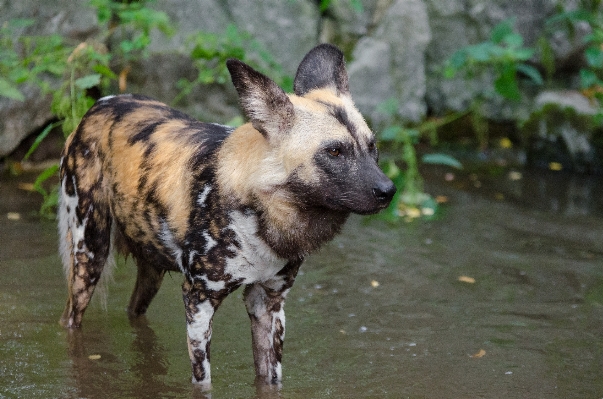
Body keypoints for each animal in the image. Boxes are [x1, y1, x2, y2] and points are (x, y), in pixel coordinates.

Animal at [57, 44, 396, 388]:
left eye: (372, 147)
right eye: (335, 152)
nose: (388, 190)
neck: (261, 214)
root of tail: (102, 103)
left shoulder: (269, 303)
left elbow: (270, 378)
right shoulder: (199, 302)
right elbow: (203, 379)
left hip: (149, 269)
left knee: (134, 311)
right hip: (89, 256)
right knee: (71, 317)